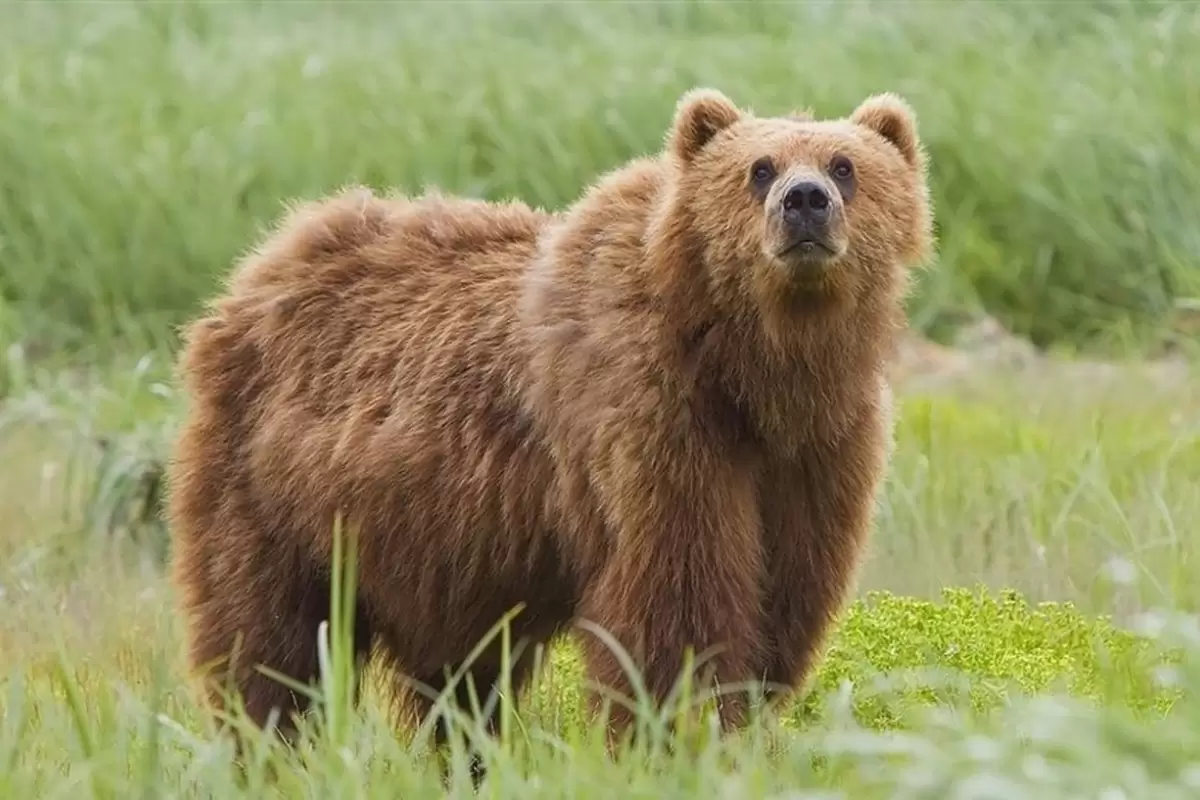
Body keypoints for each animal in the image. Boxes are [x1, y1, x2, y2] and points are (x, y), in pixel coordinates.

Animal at [166, 84, 936, 753]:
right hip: (274, 490)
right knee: (270, 643)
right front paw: (672, 734)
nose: (805, 202)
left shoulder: (818, 452)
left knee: (460, 676)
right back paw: (269, 746)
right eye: (759, 168)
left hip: (439, 548)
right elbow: (675, 604)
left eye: (845, 165)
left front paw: (740, 719)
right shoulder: (655, 422)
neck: (754, 371)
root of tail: (262, 263)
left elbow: (784, 595)